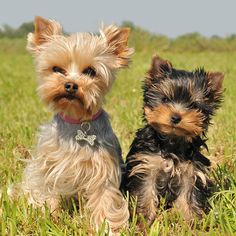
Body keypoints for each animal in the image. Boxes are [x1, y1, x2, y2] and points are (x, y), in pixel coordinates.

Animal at [18, 17, 134, 232]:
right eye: (57, 69)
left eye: (90, 71)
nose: (71, 85)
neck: (78, 121)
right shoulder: (49, 165)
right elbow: (47, 191)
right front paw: (49, 217)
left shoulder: (103, 169)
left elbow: (104, 199)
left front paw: (106, 228)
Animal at [124, 54, 224, 225]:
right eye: (164, 100)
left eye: (193, 105)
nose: (176, 117)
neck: (172, 142)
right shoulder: (147, 166)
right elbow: (145, 194)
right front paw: (143, 223)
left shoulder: (191, 173)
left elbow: (189, 199)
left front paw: (192, 223)